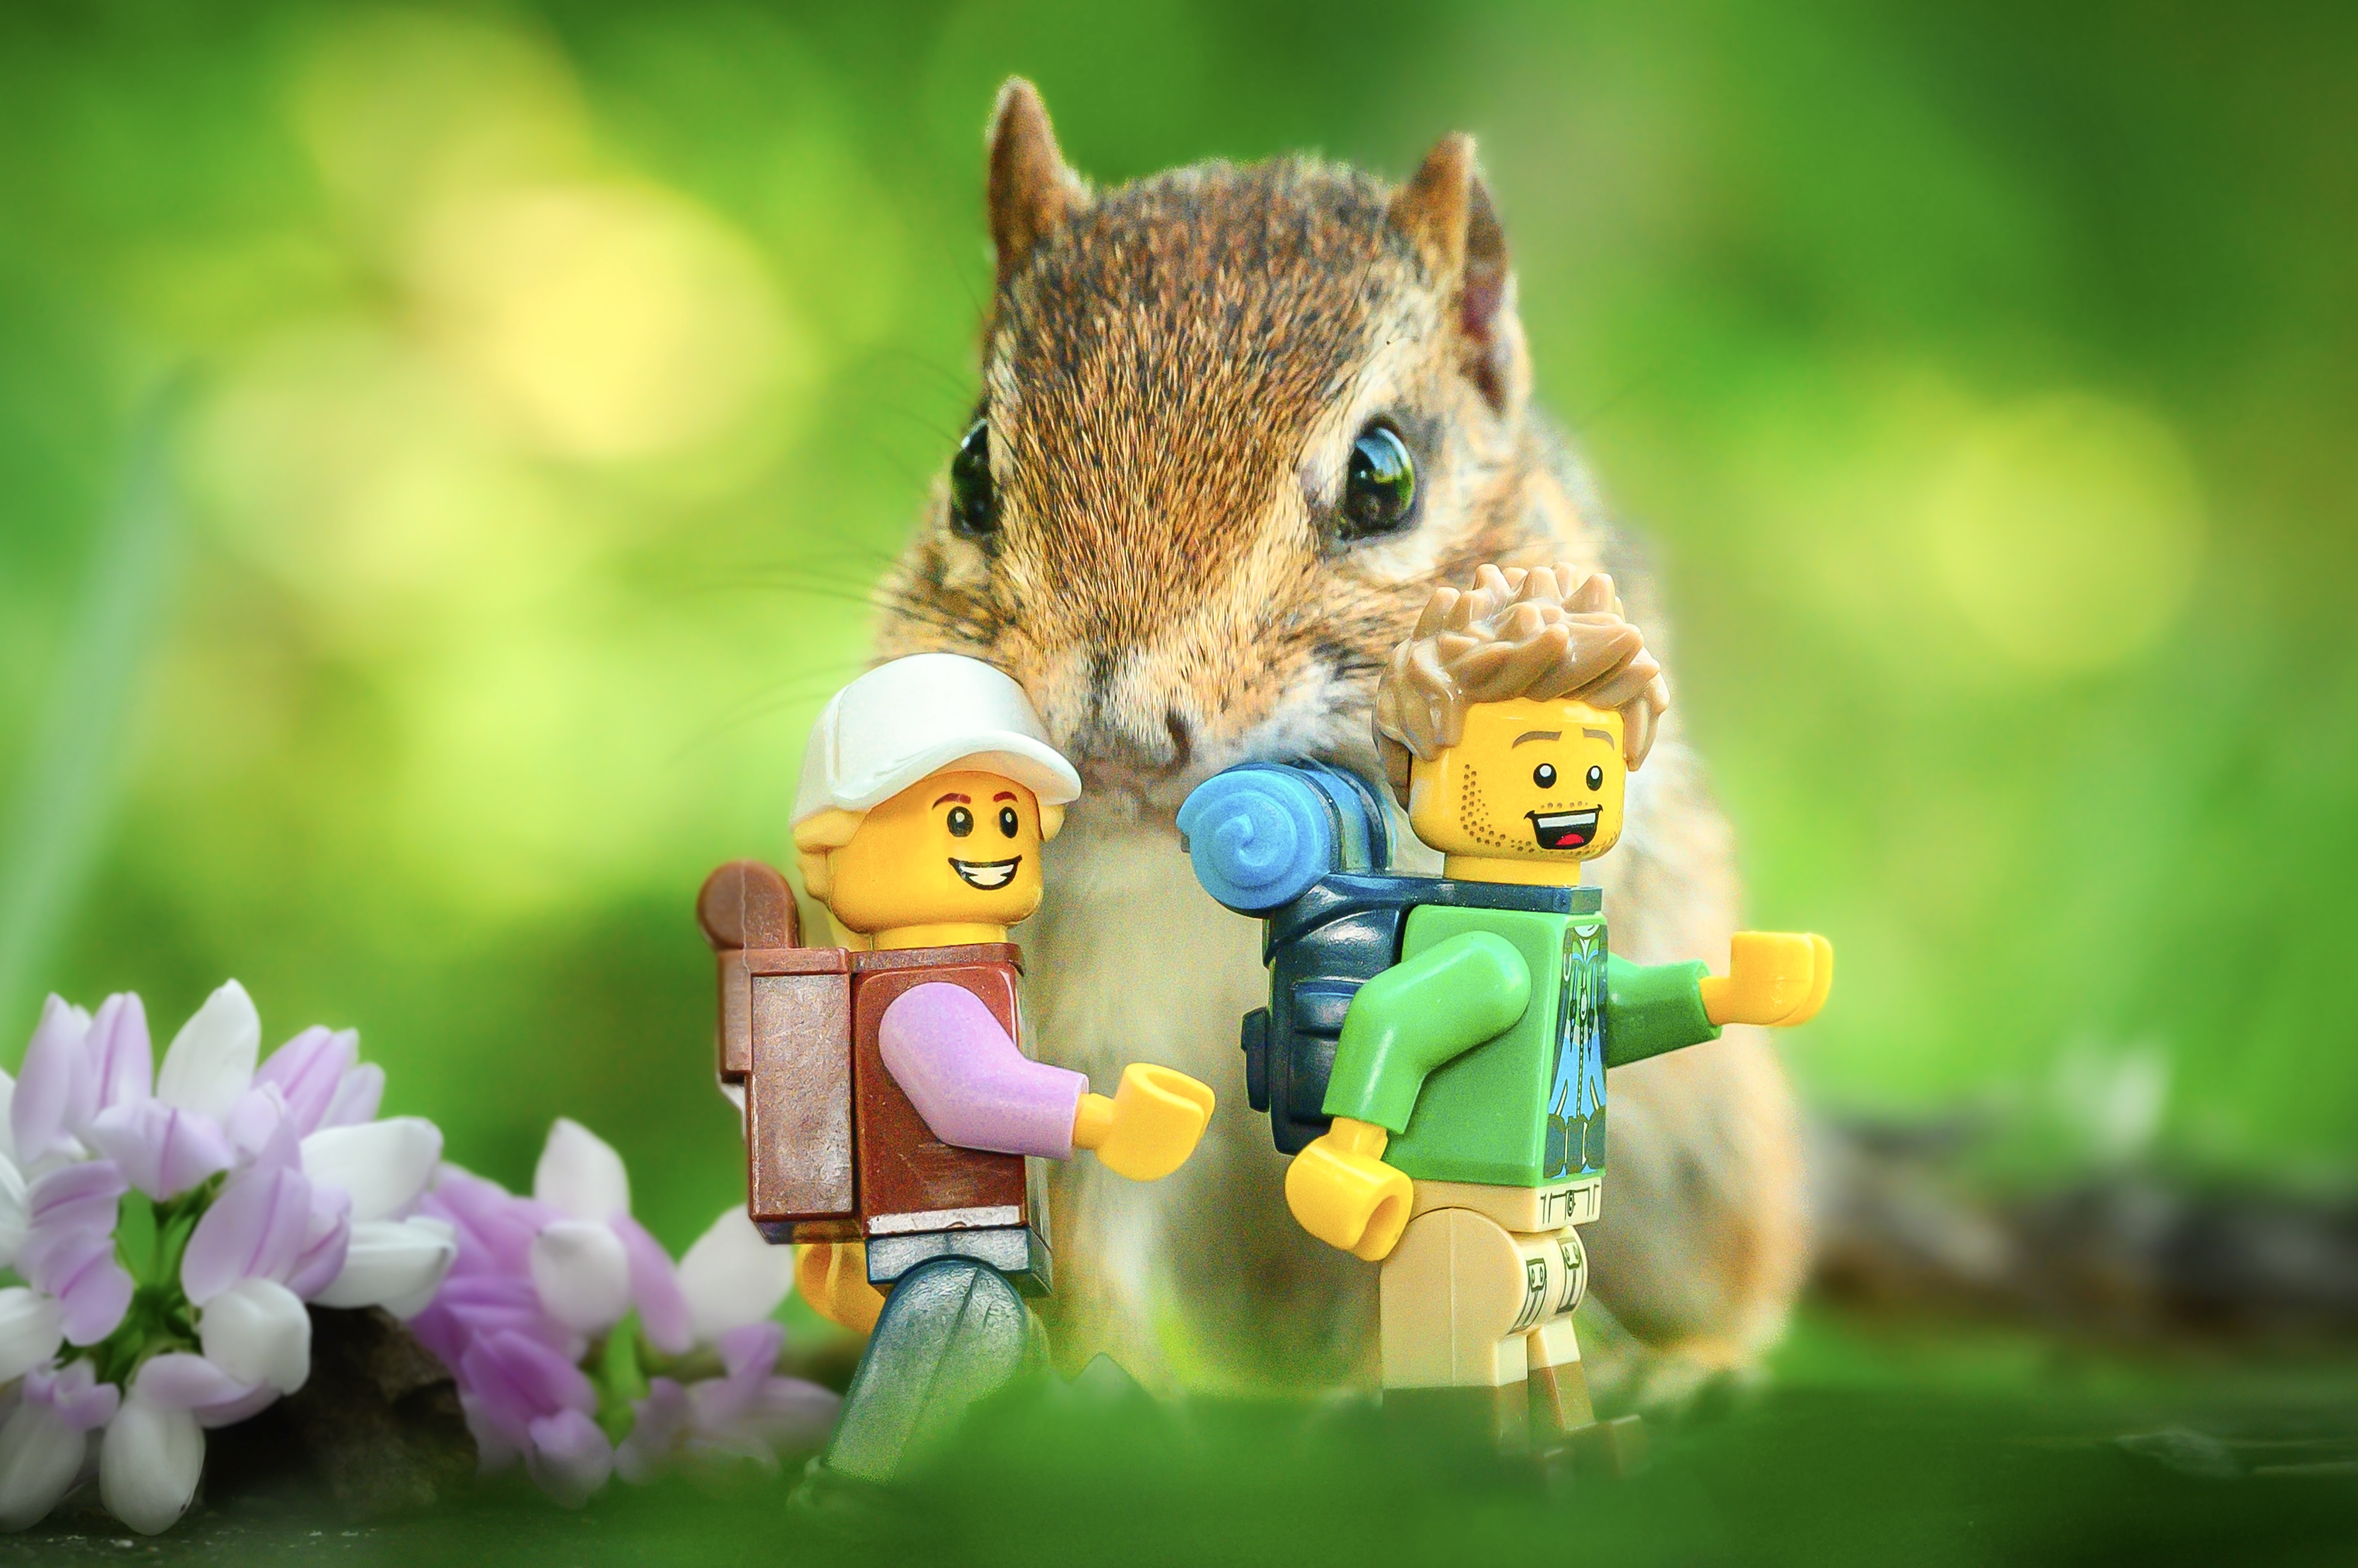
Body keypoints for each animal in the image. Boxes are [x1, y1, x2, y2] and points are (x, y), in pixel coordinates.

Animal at [864, 78, 1808, 1404]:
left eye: (1384, 476)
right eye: (969, 471)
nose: (1111, 736)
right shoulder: (1088, 1030)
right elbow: (1093, 1213)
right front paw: (1105, 1381)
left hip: (1699, 1144)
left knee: (1731, 1267)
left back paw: (1685, 1362)